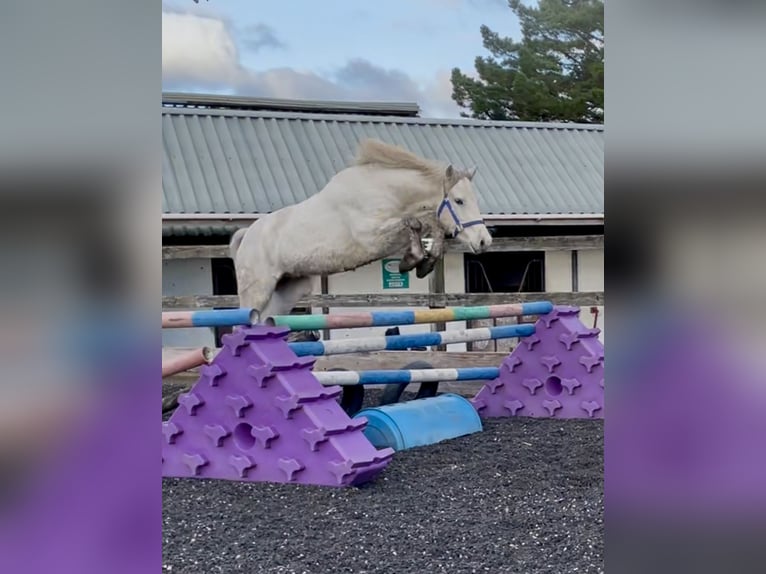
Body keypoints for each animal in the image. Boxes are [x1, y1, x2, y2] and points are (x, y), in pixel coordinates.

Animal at [230, 138, 493, 322]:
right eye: (459, 201)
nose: (484, 241)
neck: (385, 191)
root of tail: (246, 235)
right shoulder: (371, 238)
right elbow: (413, 223)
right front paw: (411, 261)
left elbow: (428, 224)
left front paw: (423, 262)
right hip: (257, 290)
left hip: (288, 290)